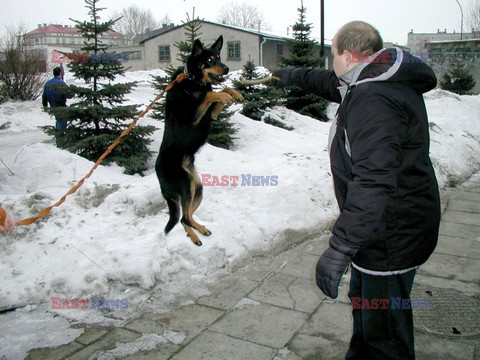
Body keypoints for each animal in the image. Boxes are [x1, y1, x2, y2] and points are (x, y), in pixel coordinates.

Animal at [156, 35, 244, 246]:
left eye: (219, 57)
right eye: (210, 60)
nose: (227, 68)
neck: (193, 81)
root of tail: (158, 174)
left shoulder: (211, 115)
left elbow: (223, 89)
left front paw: (234, 93)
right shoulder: (192, 120)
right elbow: (209, 94)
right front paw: (222, 94)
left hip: (197, 187)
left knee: (184, 218)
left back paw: (197, 233)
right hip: (185, 185)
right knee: (184, 217)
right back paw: (196, 233)